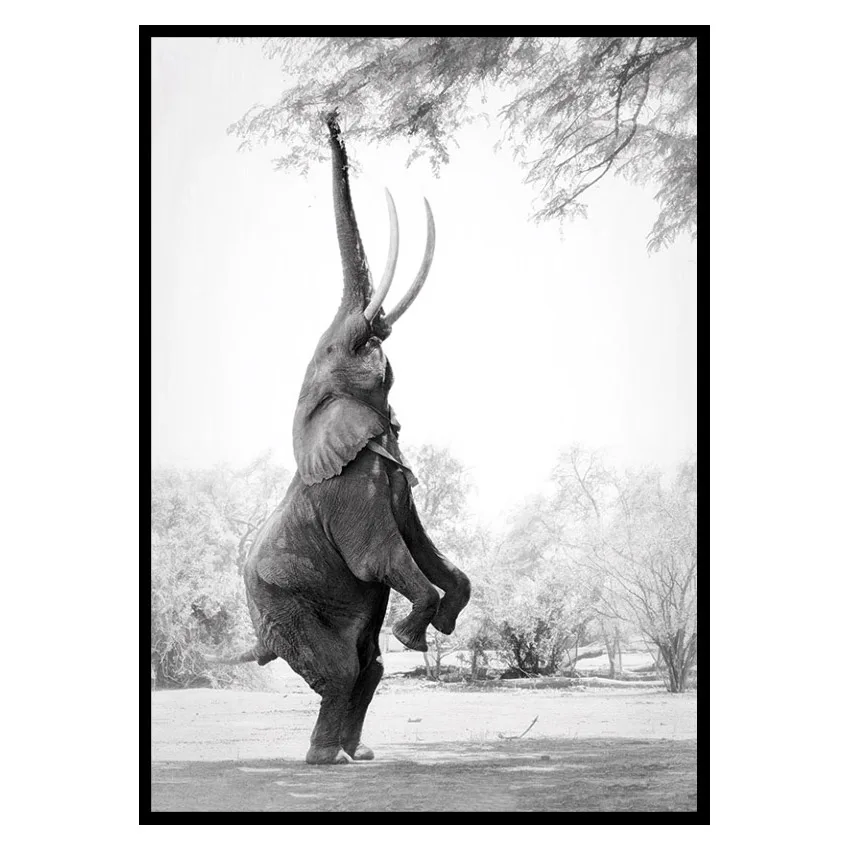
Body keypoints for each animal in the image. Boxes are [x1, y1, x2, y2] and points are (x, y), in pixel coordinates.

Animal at [224, 112, 471, 765]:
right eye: (342, 347)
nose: (331, 116)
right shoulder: (348, 492)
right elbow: (381, 557)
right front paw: (416, 634)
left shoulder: (393, 480)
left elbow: (426, 549)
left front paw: (438, 626)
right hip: (281, 602)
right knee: (340, 669)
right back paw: (319, 759)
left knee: (369, 668)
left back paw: (354, 755)